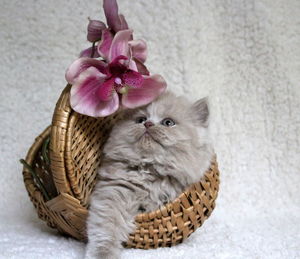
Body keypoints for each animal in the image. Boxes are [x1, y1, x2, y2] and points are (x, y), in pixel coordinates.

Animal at [84, 92, 213, 259]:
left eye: (168, 122)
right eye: (141, 120)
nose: (148, 124)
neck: (152, 170)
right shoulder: (113, 193)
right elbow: (105, 229)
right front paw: (102, 255)